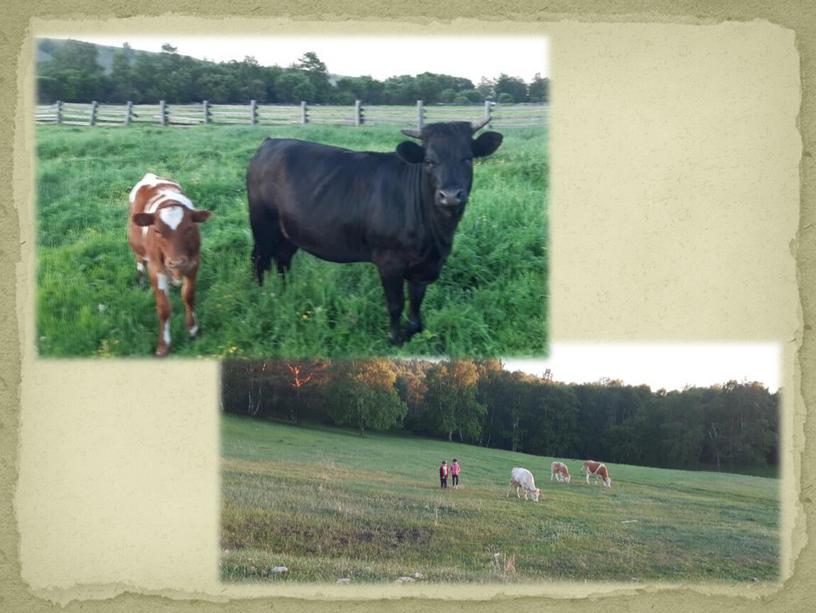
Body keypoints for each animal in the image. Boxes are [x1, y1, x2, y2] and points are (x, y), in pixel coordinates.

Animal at [126, 172, 210, 356]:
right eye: (157, 231)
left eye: (189, 228)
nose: (177, 261)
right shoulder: (156, 270)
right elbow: (164, 308)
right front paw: (164, 345)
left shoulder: (193, 264)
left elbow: (188, 296)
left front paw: (192, 329)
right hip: (137, 247)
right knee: (139, 260)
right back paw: (141, 280)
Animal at [245, 119, 500, 344]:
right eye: (429, 161)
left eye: (467, 158)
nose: (450, 196)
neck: (437, 236)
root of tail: (271, 142)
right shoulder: (389, 261)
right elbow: (395, 303)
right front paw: (394, 338)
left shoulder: (425, 265)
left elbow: (416, 301)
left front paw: (413, 332)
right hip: (262, 224)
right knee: (260, 259)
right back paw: (261, 298)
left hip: (287, 230)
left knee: (283, 259)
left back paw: (284, 293)